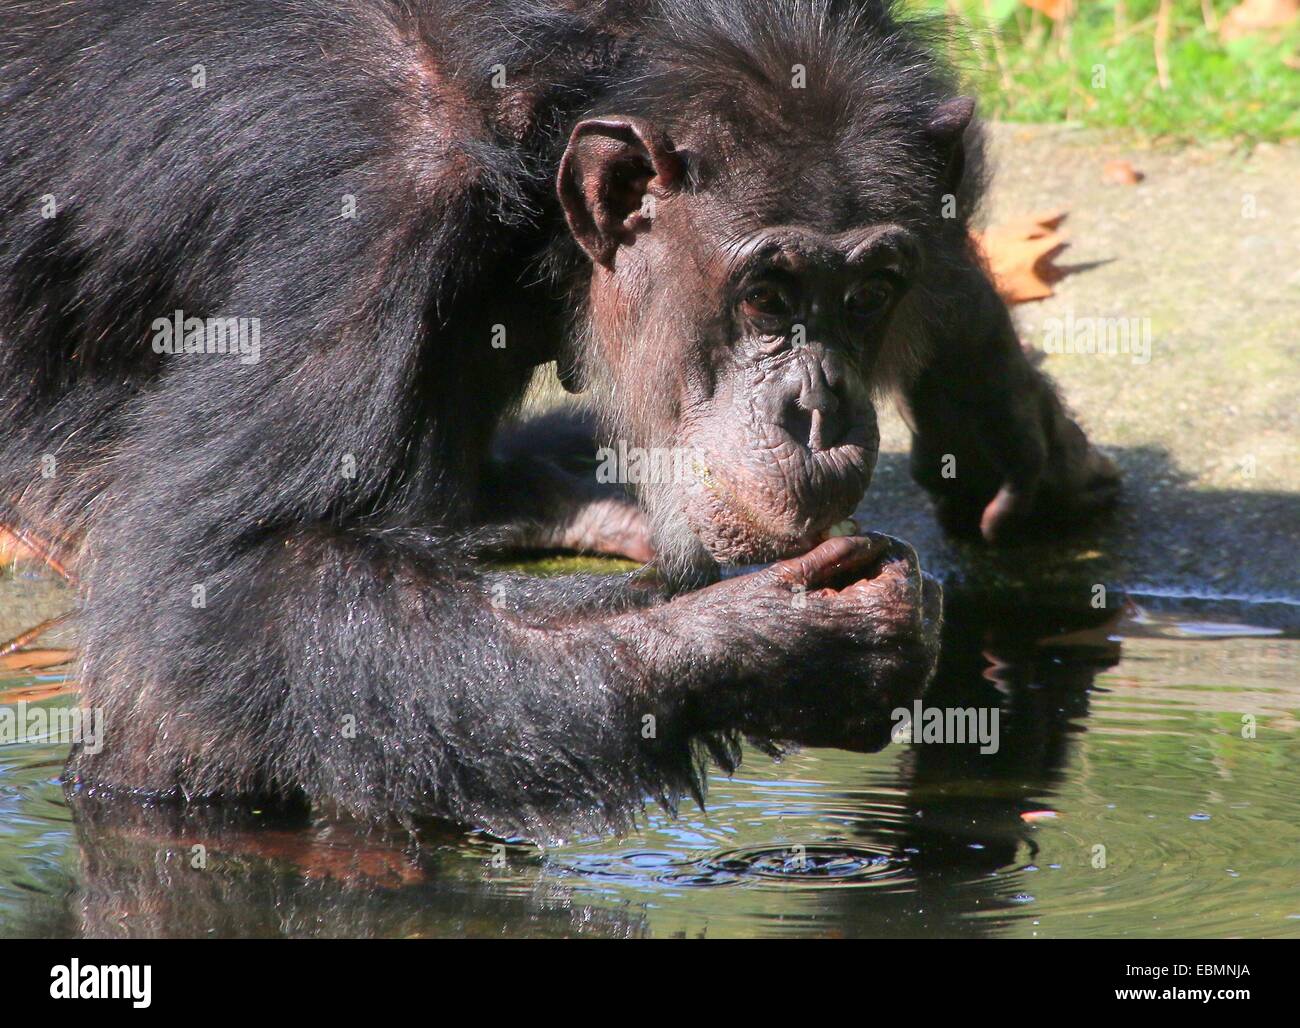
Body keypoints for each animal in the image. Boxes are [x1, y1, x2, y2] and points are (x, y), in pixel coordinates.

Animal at [0, 0, 1118, 836]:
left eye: (870, 294)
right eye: (767, 296)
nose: (818, 407)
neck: (541, 112)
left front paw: (1009, 417)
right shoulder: (362, 227)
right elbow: (211, 601)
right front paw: (771, 643)